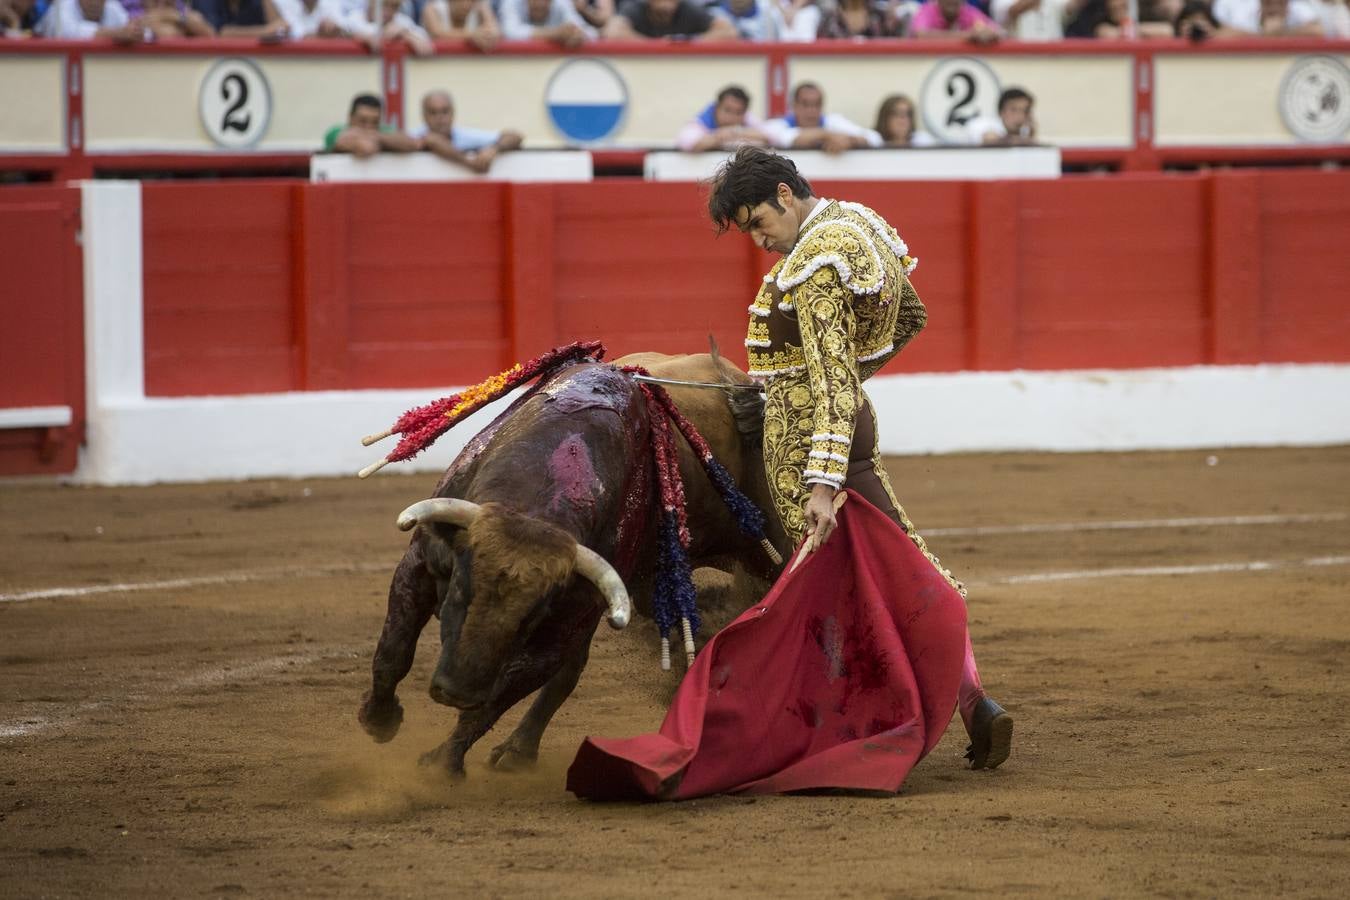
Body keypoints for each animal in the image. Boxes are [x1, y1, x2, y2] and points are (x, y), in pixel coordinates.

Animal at [359, 350, 788, 777]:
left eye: (529, 618)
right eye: (459, 592)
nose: (456, 692)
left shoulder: (564, 622)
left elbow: (500, 695)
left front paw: (441, 764)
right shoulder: (420, 563)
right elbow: (394, 651)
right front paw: (379, 719)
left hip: (766, 544)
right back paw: (519, 749)